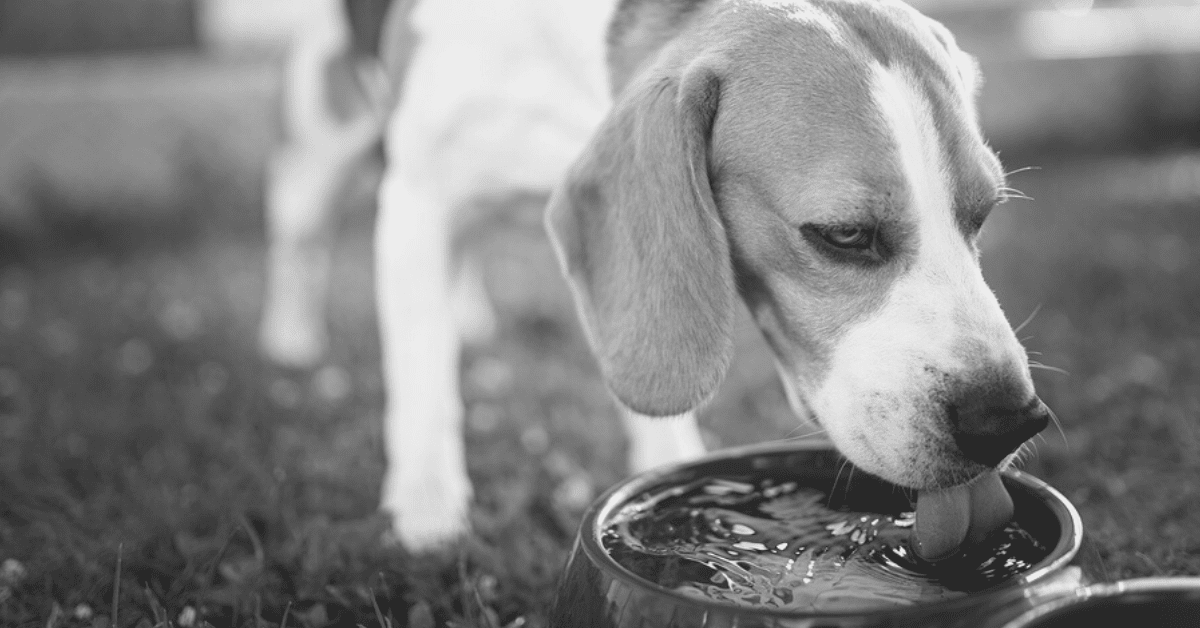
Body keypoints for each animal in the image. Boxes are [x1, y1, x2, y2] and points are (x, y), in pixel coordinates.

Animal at [258, 0, 1046, 557]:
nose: (1008, 420)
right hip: (326, 139)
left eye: (982, 215)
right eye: (843, 235)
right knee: (298, 224)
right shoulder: (416, 197)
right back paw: (289, 339)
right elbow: (422, 377)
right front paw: (426, 512)